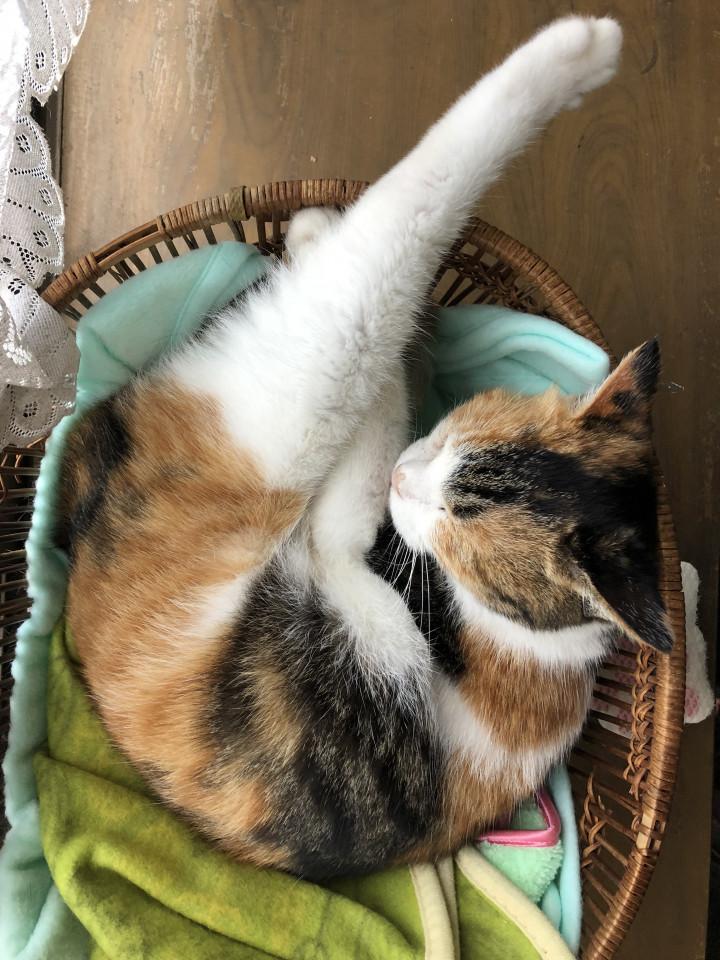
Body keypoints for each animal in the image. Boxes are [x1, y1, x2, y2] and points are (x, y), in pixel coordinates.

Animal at [56, 16, 672, 880]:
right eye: (462, 429)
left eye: (460, 531)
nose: (406, 478)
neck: (539, 645)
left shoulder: (369, 601)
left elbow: (350, 500)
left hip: (294, 392)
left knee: (389, 248)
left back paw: (575, 52)